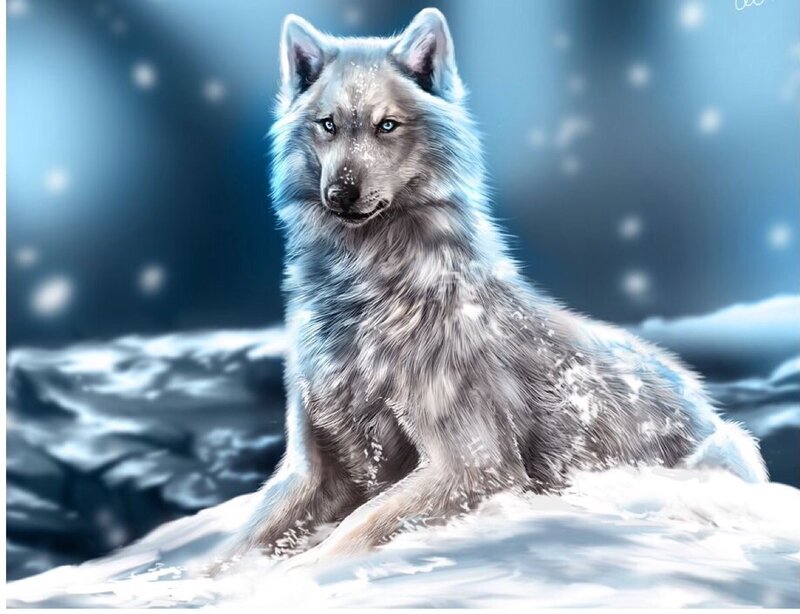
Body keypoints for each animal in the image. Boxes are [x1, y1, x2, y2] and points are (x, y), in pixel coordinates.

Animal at [233, 8, 767, 565]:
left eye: (387, 126)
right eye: (328, 125)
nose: (340, 192)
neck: (362, 300)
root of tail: (706, 404)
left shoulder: (475, 465)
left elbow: (351, 533)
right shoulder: (314, 469)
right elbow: (240, 545)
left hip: (720, 451)